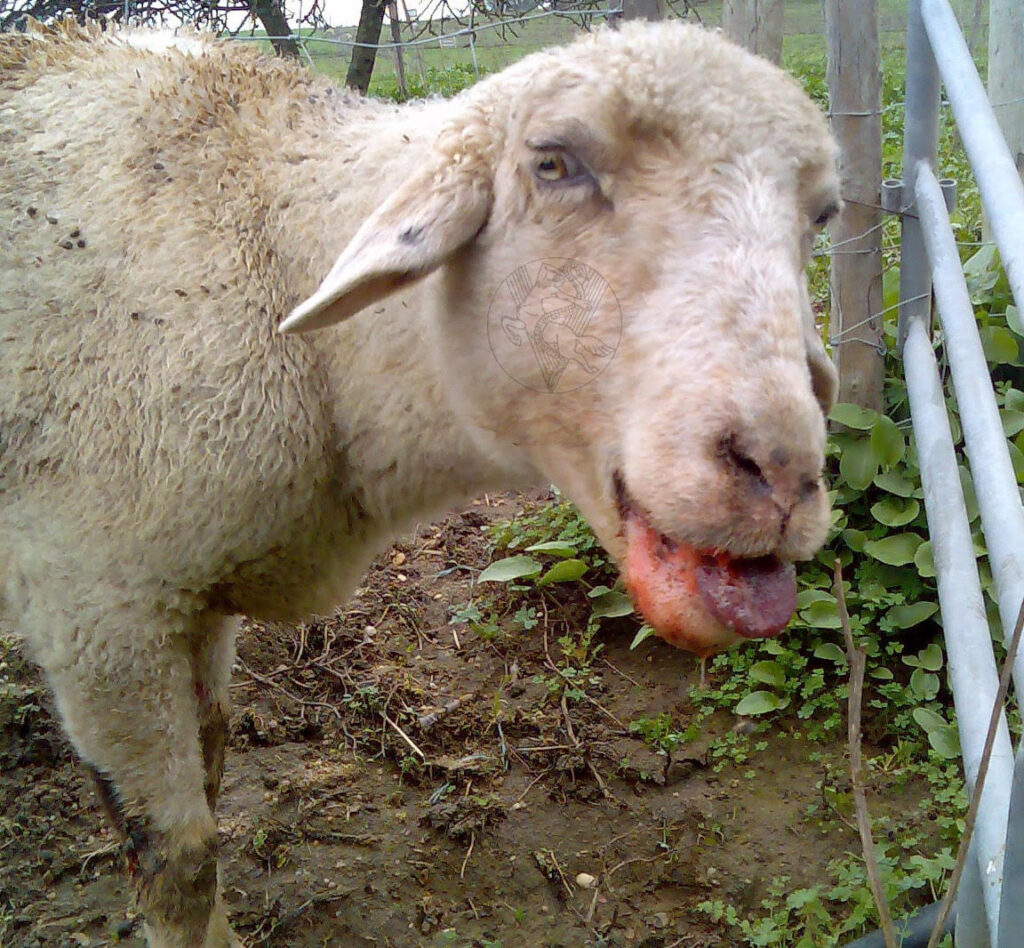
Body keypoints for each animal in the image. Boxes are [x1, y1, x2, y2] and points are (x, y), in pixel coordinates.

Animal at [0, 16, 839, 948]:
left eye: (823, 213)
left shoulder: (193, 592)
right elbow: (179, 862)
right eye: (555, 163)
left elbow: (213, 767)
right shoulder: (99, 609)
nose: (781, 472)